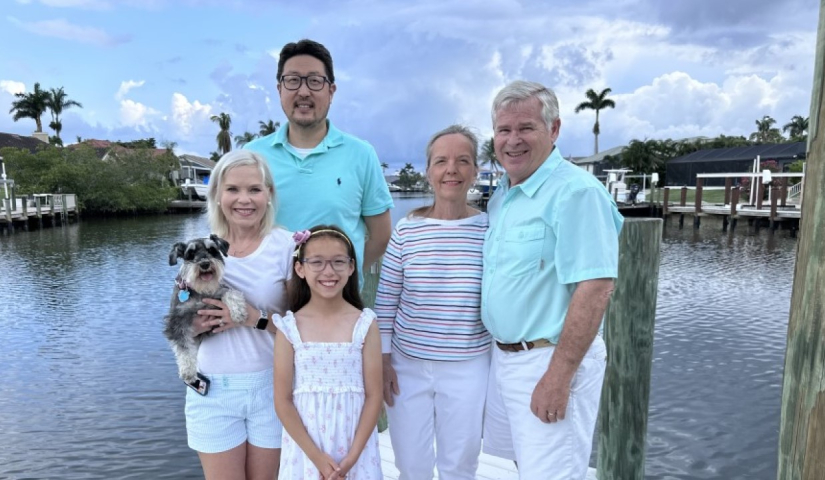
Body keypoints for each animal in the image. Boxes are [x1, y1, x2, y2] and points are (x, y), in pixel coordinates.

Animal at [163, 234, 246, 384]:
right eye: (190, 254)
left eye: (212, 250)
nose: (205, 264)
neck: (200, 291)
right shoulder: (177, 320)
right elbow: (183, 347)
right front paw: (188, 371)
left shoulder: (217, 295)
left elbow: (230, 293)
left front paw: (238, 311)